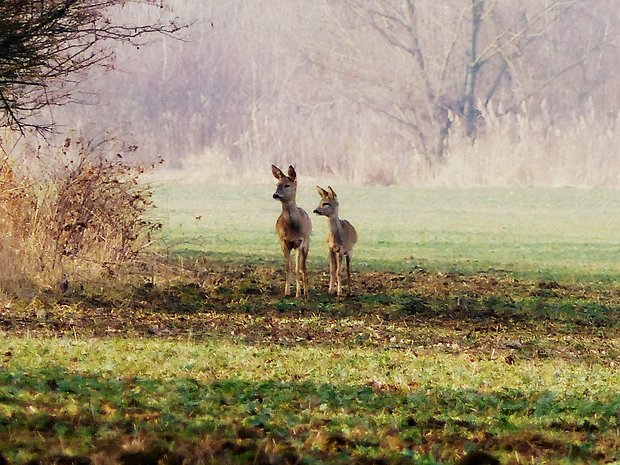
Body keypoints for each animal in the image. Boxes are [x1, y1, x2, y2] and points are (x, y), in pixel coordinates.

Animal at [272, 165, 312, 300]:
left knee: (303, 266)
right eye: (277, 184)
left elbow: (297, 267)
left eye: (287, 185)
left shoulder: (300, 241)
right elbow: (288, 267)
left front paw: (298, 293)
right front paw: (287, 292)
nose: (275, 195)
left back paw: (306, 292)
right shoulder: (283, 242)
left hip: (307, 243)